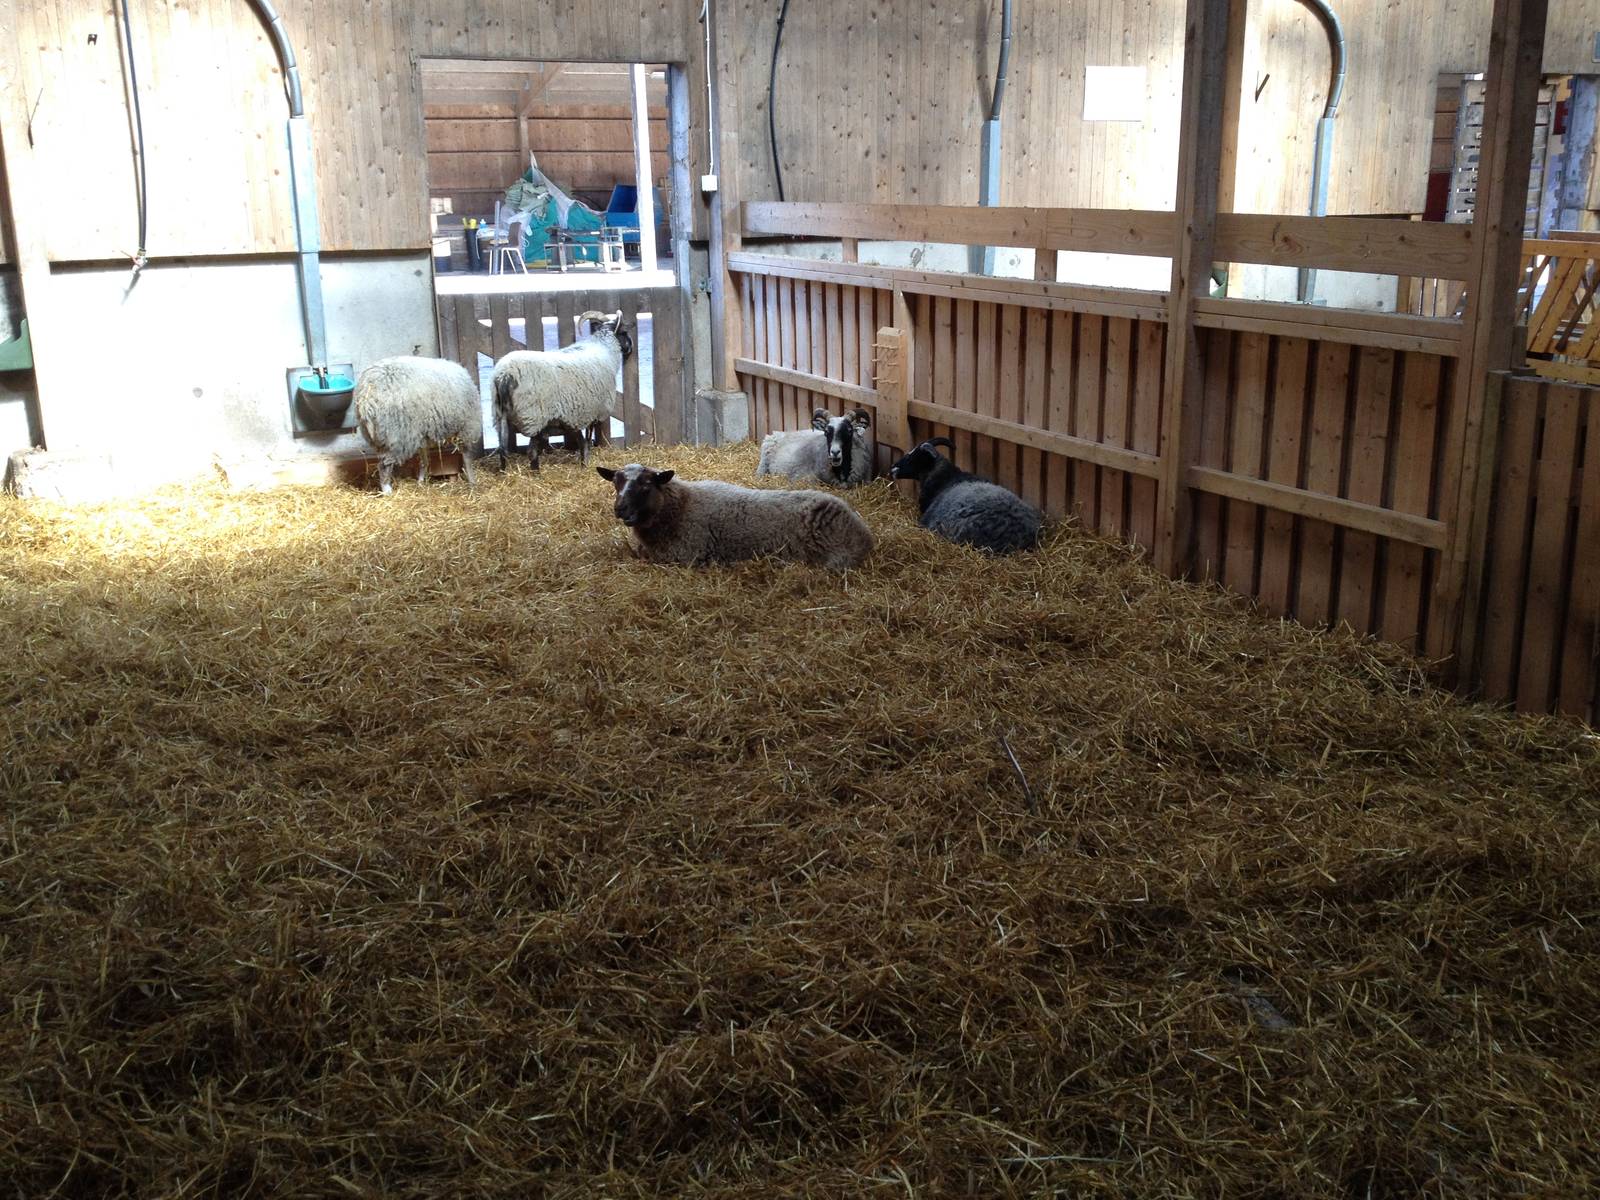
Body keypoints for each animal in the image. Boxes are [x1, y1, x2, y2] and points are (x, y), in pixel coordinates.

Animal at [353, 355, 483, 495]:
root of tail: (368, 396)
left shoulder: (423, 434)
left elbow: (424, 459)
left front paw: (421, 481)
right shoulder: (467, 428)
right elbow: (467, 458)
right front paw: (472, 481)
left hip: (381, 436)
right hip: (397, 434)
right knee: (384, 464)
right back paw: (387, 491)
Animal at [491, 310, 634, 472]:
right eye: (624, 332)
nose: (631, 348)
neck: (605, 349)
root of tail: (505, 375)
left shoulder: (576, 414)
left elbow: (581, 439)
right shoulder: (593, 411)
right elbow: (587, 439)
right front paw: (585, 462)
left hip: (499, 414)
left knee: (502, 449)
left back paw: (504, 471)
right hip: (534, 416)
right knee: (531, 451)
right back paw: (536, 472)